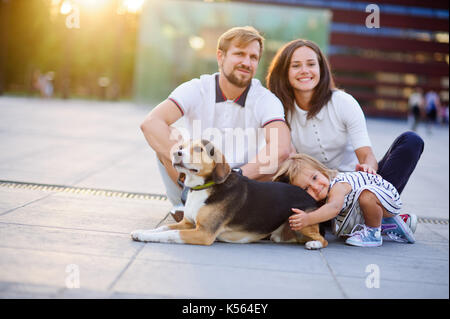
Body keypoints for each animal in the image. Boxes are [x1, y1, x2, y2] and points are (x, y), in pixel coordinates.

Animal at [130, 140, 326, 250]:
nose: (177, 153)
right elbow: (163, 228)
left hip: (301, 221)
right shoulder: (188, 223)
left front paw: (147, 236)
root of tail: (311, 197)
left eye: (198, 149)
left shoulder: (204, 233)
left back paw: (314, 244)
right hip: (282, 234)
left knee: (322, 240)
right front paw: (142, 232)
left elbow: (170, 234)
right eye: (181, 147)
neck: (202, 188)